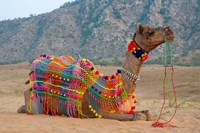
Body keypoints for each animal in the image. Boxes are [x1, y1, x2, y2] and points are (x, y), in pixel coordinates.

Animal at [18, 24, 174, 121]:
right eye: (150, 32)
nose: (170, 32)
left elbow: (147, 113)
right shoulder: (101, 111)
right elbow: (139, 116)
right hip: (36, 105)